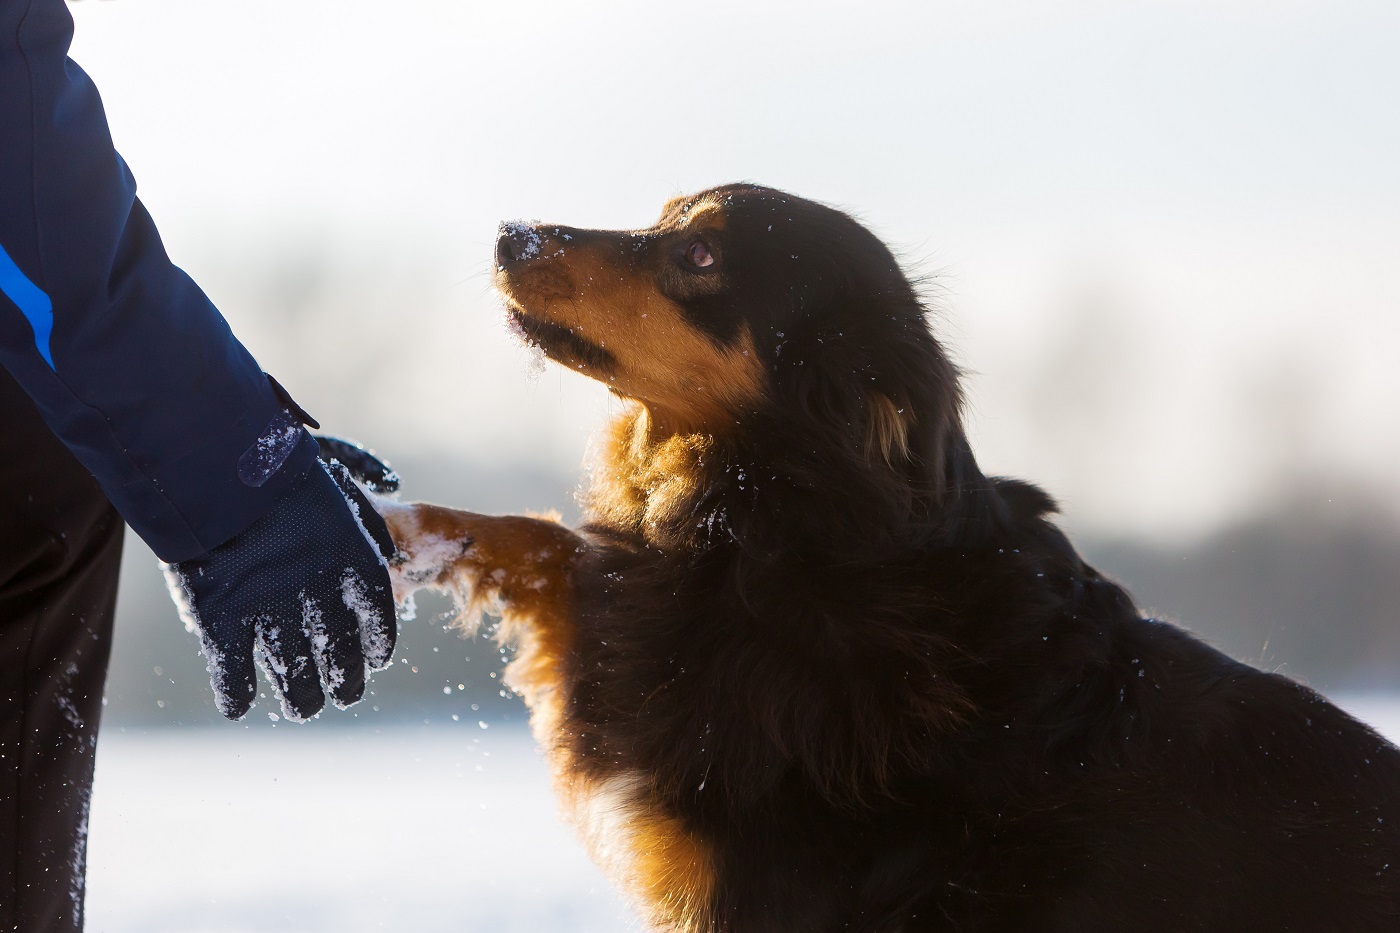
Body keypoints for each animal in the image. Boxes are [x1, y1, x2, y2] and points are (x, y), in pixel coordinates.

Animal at [372, 183, 1400, 930]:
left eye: (698, 255)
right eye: (663, 219)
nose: (509, 235)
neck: (790, 528)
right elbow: (546, 541)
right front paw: (386, 527)